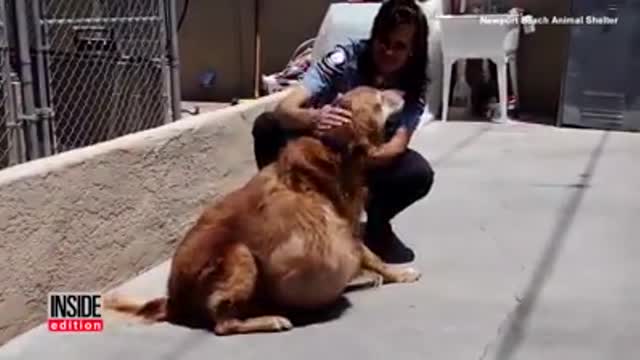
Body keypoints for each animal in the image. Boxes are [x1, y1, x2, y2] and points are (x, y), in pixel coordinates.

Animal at [106, 86, 420, 334]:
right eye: (379, 99)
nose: (404, 93)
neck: (335, 151)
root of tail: (174, 301)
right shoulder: (344, 227)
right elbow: (373, 255)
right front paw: (398, 274)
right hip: (239, 254)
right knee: (223, 323)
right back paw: (271, 320)